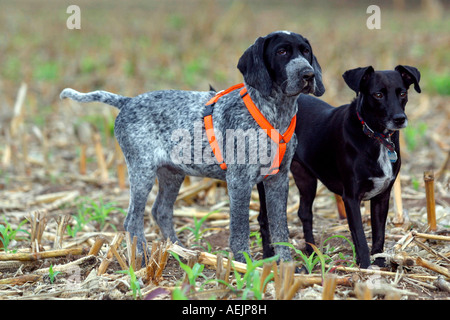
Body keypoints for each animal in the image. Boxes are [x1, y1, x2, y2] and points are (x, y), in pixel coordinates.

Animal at [61, 30, 326, 262]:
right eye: (281, 52)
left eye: (306, 51)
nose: (308, 74)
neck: (275, 115)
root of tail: (127, 101)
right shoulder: (239, 181)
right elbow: (240, 229)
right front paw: (245, 265)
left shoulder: (277, 180)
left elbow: (280, 228)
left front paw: (286, 264)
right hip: (142, 172)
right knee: (133, 220)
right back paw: (144, 258)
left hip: (172, 174)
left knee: (160, 210)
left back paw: (179, 251)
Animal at [258, 65, 420, 268]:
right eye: (378, 94)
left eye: (403, 93)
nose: (399, 119)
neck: (374, 136)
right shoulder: (350, 197)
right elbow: (360, 235)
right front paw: (365, 266)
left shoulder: (382, 196)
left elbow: (379, 234)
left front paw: (380, 264)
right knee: (264, 218)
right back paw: (267, 257)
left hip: (306, 179)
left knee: (304, 213)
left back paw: (312, 252)